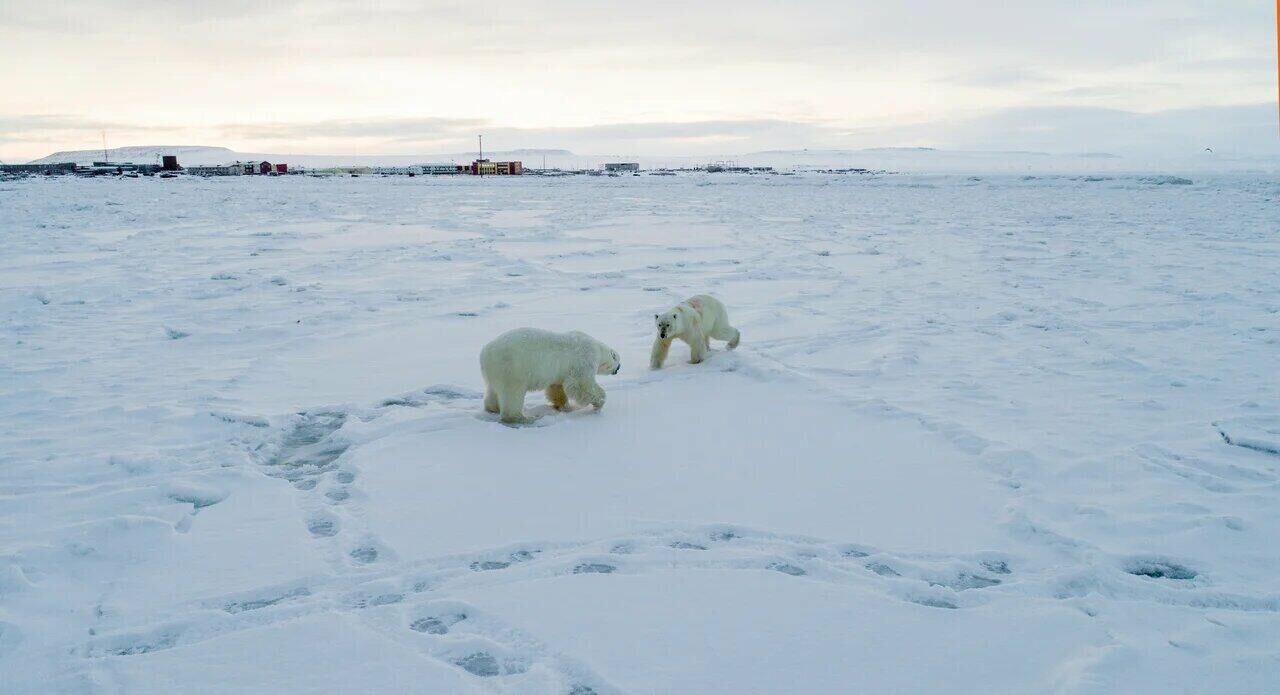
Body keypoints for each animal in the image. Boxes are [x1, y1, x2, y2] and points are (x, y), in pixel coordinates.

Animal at [481, 326, 619, 424]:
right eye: (618, 362)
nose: (618, 368)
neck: (599, 349)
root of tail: (485, 352)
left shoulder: (560, 372)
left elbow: (557, 387)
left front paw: (565, 407)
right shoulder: (585, 359)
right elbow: (581, 384)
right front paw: (599, 402)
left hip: (496, 372)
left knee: (493, 390)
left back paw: (493, 408)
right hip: (512, 368)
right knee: (513, 393)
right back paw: (525, 418)